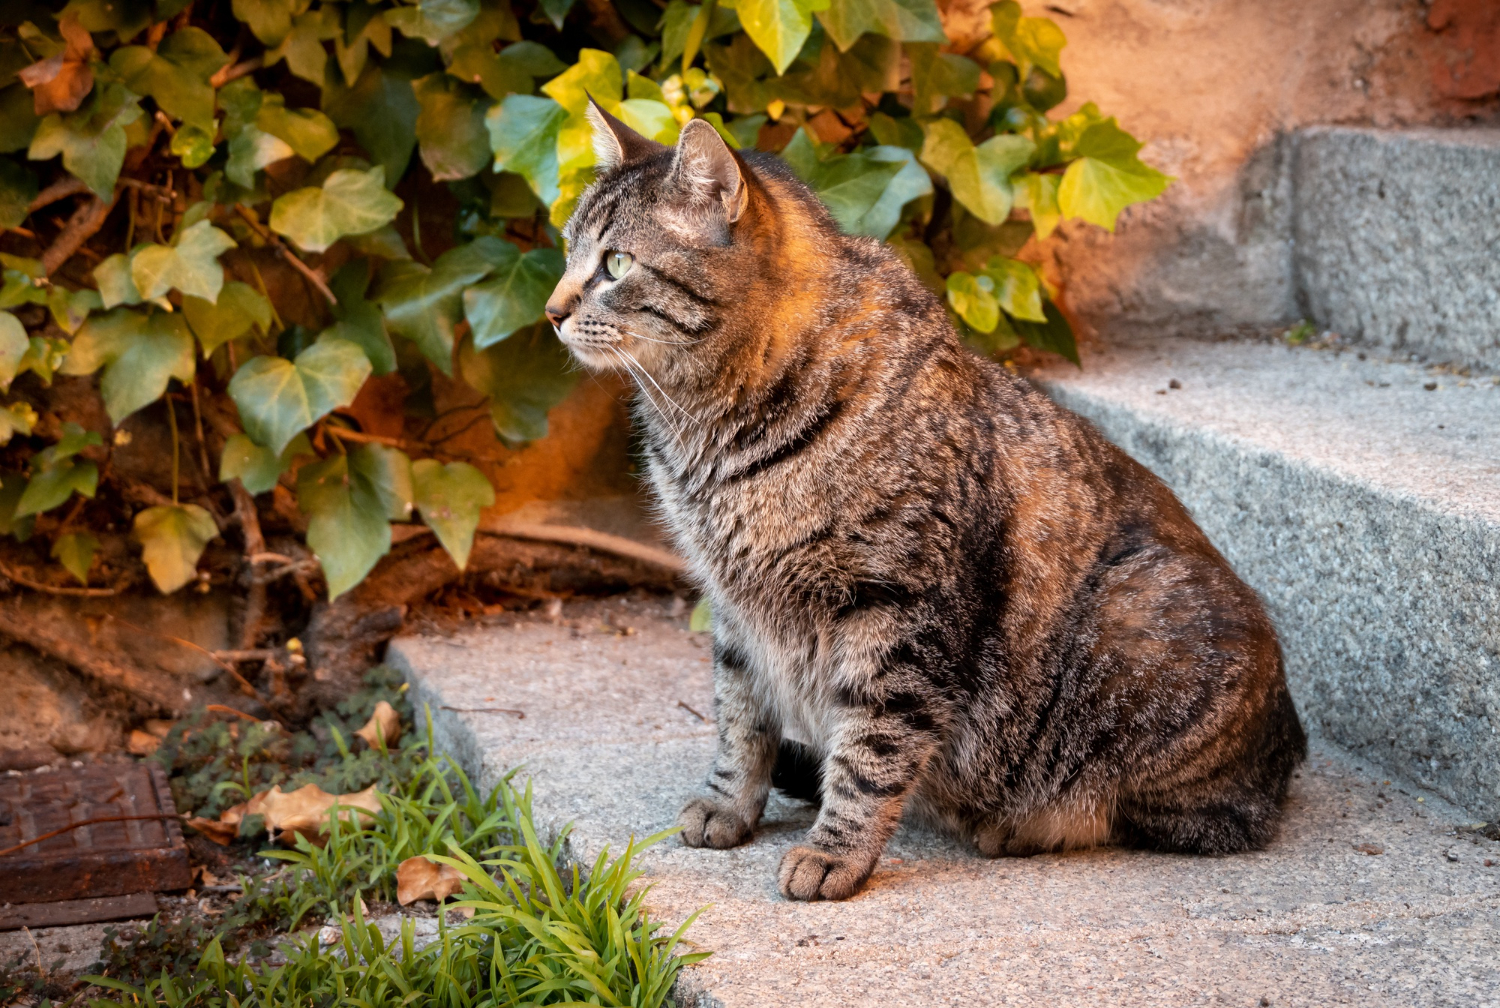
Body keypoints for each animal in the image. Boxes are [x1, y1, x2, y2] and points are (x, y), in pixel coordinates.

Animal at [546, 102, 1308, 900]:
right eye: (567, 252)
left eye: (616, 264)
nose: (551, 310)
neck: (711, 430)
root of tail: (1291, 744)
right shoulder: (733, 604)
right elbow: (739, 717)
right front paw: (728, 805)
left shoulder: (899, 606)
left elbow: (872, 748)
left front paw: (835, 852)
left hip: (1140, 624)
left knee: (1182, 816)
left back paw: (1017, 822)